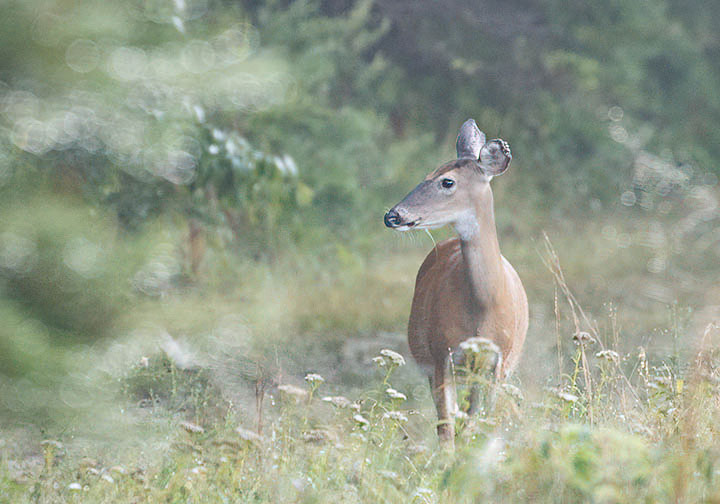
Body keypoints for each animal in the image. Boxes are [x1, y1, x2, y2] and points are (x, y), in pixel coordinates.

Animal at [384, 119, 528, 445]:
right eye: (427, 174)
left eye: (447, 182)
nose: (392, 215)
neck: (484, 309)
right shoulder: (441, 356)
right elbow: (447, 429)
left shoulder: (497, 364)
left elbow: (478, 424)